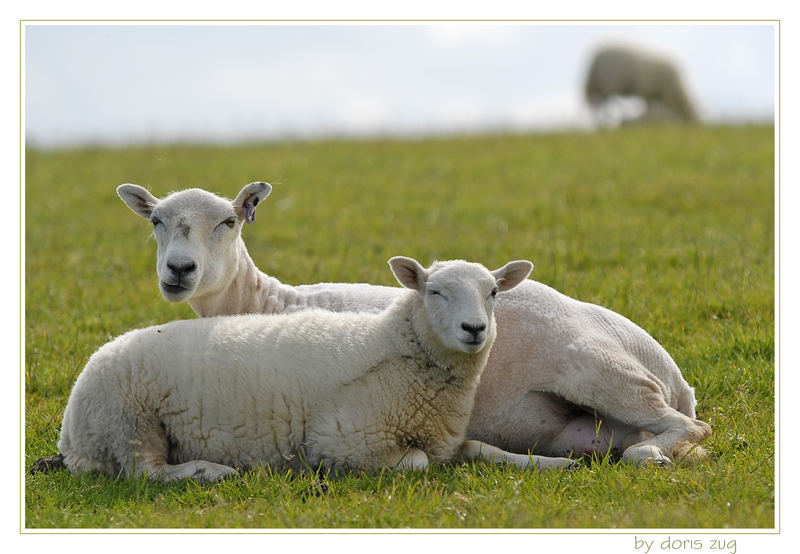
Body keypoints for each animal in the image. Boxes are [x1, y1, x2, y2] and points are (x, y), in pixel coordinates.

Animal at [57, 256, 580, 478]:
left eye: (493, 293)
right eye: (434, 292)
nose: (475, 329)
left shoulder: (446, 438)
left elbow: (482, 449)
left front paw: (554, 463)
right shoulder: (345, 439)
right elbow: (416, 462)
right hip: (130, 424)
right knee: (144, 473)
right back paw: (210, 470)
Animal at [115, 182, 708, 466]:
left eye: (228, 221)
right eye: (156, 220)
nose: (179, 270)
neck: (267, 303)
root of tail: (673, 372)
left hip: (597, 369)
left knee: (686, 428)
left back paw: (650, 456)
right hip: (585, 426)